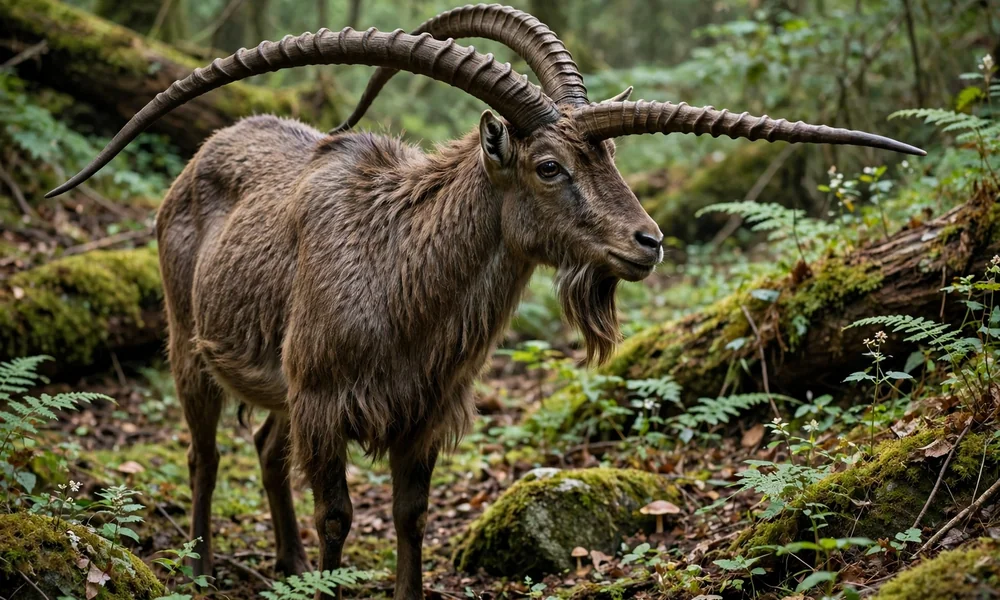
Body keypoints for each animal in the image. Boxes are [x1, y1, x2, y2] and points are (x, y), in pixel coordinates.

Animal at [48, 5, 924, 598]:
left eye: (607, 154)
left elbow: (409, 516)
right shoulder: (327, 402)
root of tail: (200, 158)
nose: (648, 242)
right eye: (547, 165)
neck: (396, 266)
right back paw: (202, 565)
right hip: (189, 346)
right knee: (204, 455)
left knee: (264, 447)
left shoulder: (422, 414)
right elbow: (340, 516)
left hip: (279, 389)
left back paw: (286, 565)